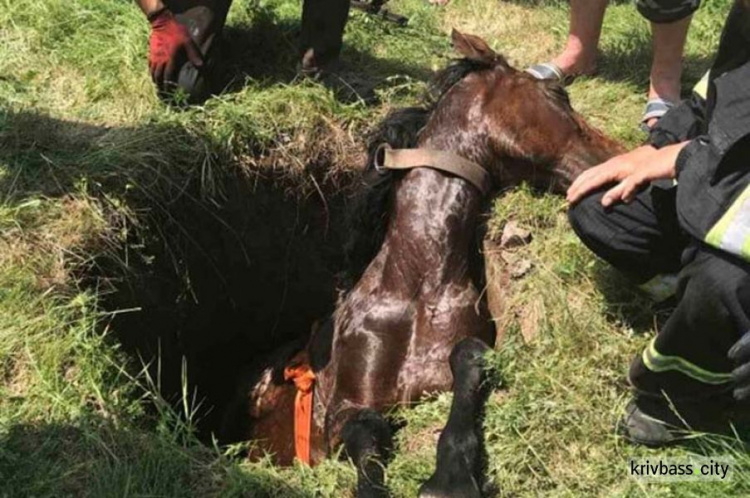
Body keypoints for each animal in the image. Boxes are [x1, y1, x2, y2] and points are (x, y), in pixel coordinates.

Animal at [219, 30, 624, 494]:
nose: (622, 152)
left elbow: (468, 369)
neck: (415, 286)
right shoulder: (341, 412)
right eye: (558, 92)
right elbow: (369, 431)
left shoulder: (445, 377)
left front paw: (450, 479)